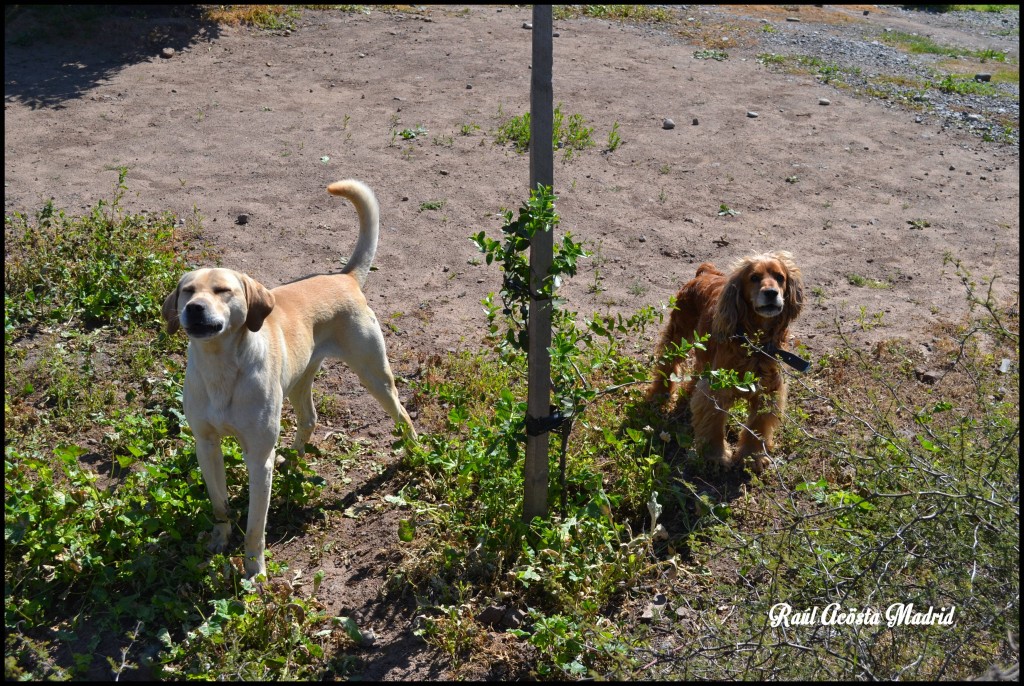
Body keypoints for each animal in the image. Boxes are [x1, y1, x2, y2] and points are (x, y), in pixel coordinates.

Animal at [161, 180, 413, 577]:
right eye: (187, 290)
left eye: (223, 291)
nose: (193, 309)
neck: (221, 367)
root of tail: (344, 277)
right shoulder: (206, 445)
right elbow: (219, 503)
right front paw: (219, 539)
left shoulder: (257, 458)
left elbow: (255, 526)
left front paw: (254, 571)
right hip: (298, 381)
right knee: (309, 419)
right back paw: (292, 461)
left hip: (374, 374)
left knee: (403, 415)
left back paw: (417, 455)